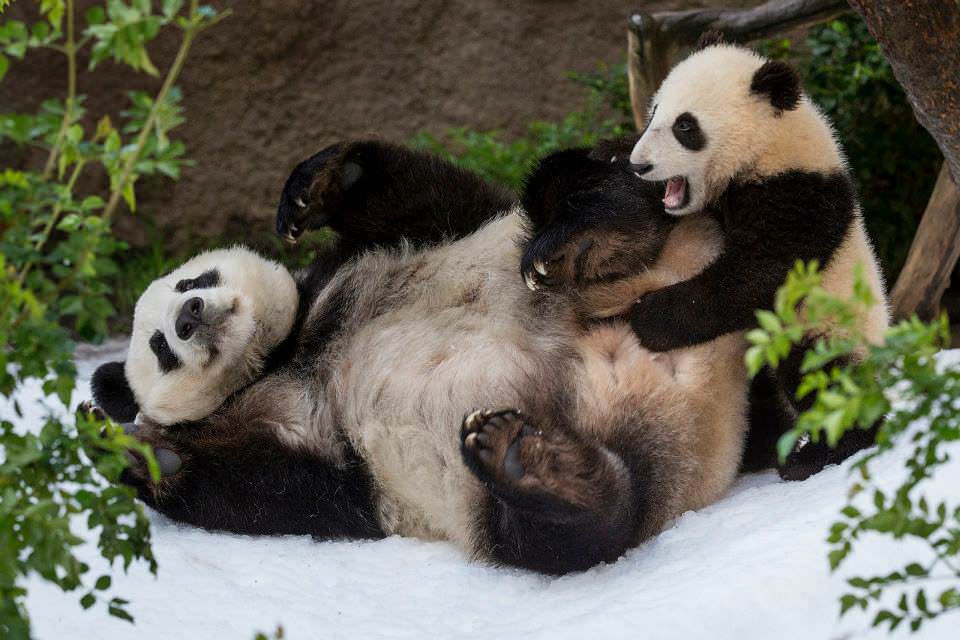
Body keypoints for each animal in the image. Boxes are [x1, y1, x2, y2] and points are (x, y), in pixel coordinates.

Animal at [90, 141, 752, 576]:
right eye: (159, 347)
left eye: (193, 280)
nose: (189, 315)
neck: (285, 352)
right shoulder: (332, 461)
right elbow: (278, 491)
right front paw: (138, 451)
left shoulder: (396, 247)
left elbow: (420, 191)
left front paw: (315, 186)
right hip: (508, 496)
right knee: (570, 533)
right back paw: (535, 462)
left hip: (603, 264)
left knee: (574, 183)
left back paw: (590, 237)